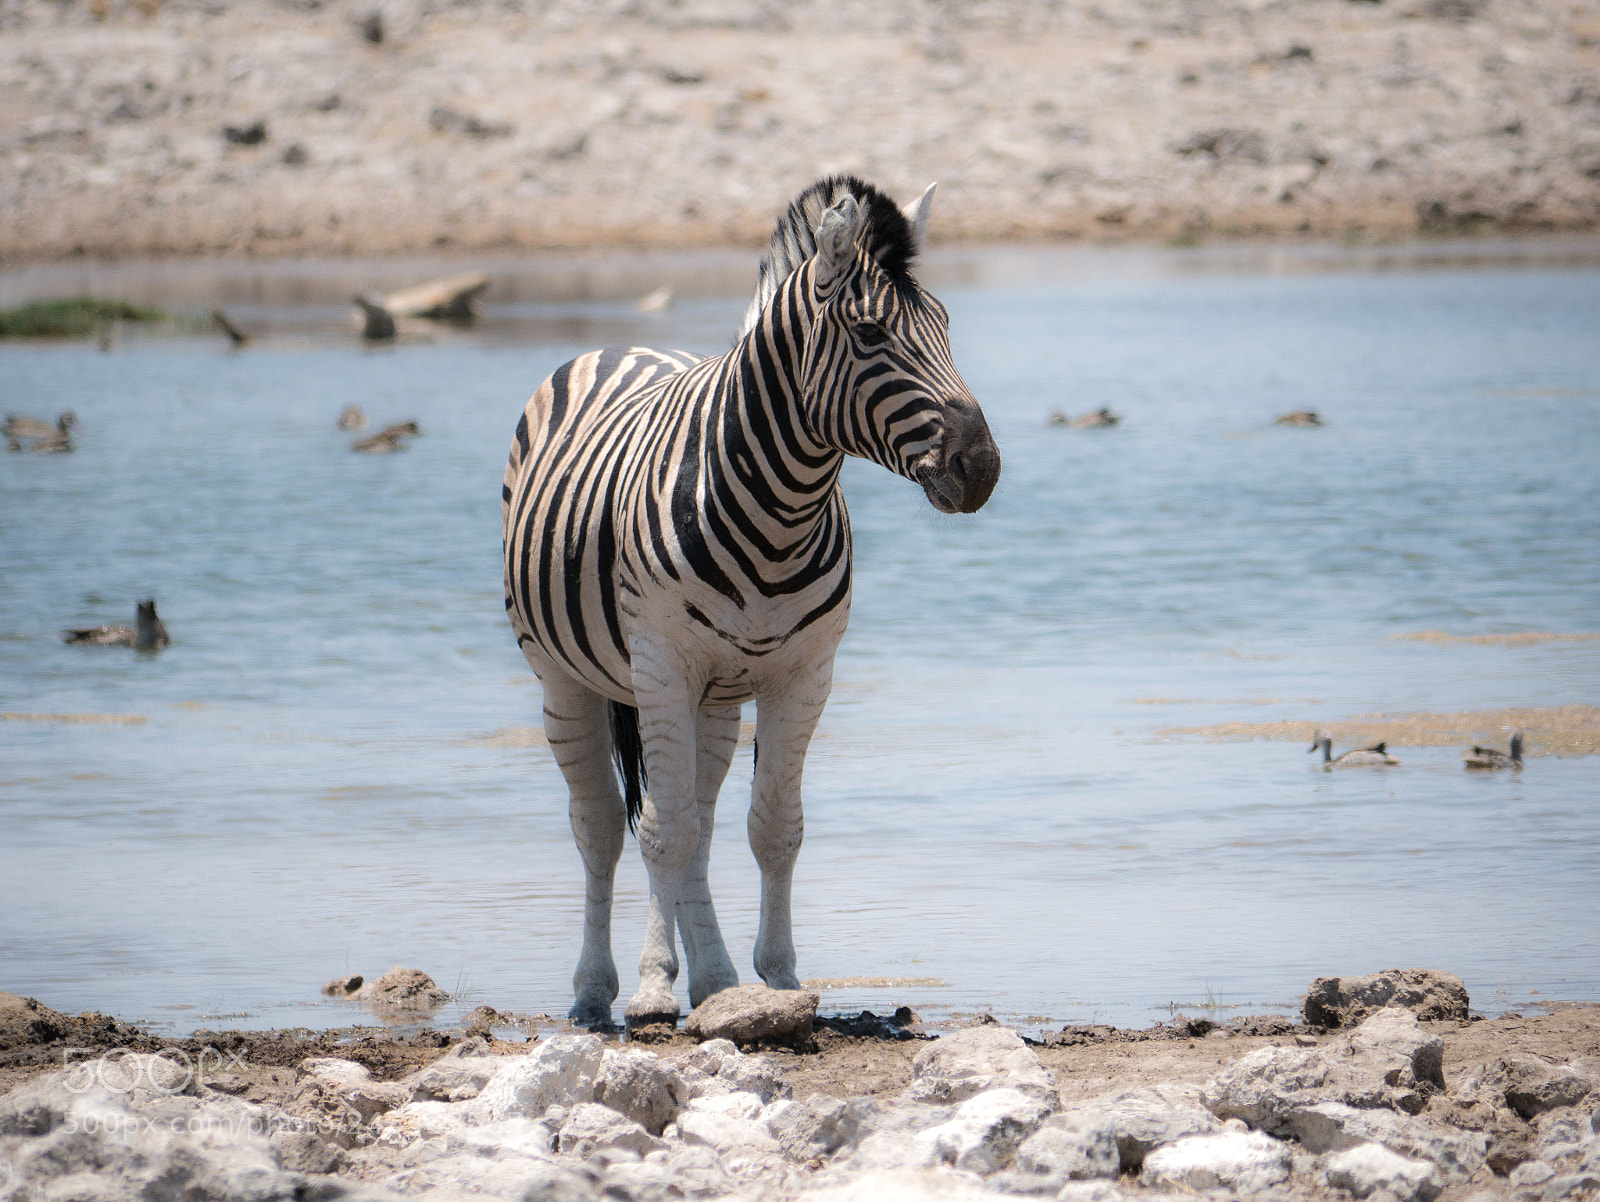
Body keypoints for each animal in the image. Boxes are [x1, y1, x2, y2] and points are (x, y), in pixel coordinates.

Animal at [501, 175, 1001, 1027]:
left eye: (943, 325)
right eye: (871, 333)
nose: (983, 467)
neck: (781, 514)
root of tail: (619, 345)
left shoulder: (803, 675)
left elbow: (773, 828)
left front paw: (780, 978)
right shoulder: (663, 668)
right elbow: (660, 831)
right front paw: (652, 988)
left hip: (717, 699)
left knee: (697, 823)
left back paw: (712, 979)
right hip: (565, 677)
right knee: (604, 826)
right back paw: (599, 991)